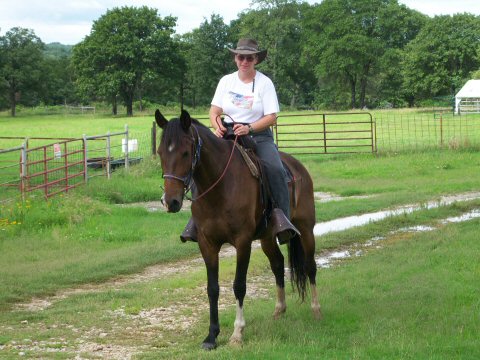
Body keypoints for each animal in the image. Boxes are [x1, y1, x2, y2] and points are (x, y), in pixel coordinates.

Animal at [156, 109, 320, 348]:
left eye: (186, 153)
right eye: (160, 152)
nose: (170, 202)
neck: (220, 186)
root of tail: (299, 168)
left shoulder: (243, 242)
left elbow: (239, 285)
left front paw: (237, 333)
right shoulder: (207, 243)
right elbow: (212, 288)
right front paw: (211, 336)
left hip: (306, 229)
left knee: (310, 267)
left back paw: (316, 309)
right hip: (268, 237)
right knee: (278, 264)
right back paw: (279, 310)